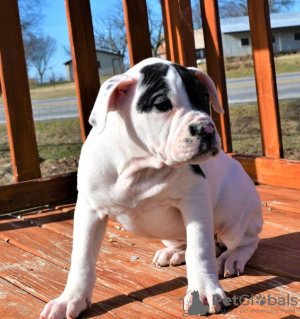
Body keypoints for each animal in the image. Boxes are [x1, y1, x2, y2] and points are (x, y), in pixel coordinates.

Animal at [40, 58, 262, 319]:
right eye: (162, 104)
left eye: (205, 97)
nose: (206, 129)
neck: (139, 166)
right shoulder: (89, 210)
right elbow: (82, 257)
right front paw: (69, 299)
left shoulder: (195, 200)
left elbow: (200, 250)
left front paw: (204, 291)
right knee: (187, 242)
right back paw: (175, 252)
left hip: (234, 219)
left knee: (246, 241)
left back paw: (232, 258)